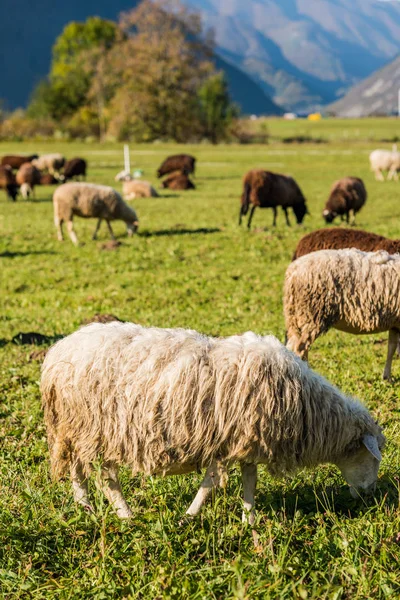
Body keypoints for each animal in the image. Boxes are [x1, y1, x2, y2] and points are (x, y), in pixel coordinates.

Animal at [40, 322, 384, 524]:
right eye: (371, 457)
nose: (370, 494)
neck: (308, 407)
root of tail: (59, 351)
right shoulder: (228, 441)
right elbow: (210, 485)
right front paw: (190, 517)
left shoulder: (246, 441)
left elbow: (249, 481)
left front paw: (248, 519)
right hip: (101, 428)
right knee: (106, 478)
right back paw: (124, 515)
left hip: (78, 429)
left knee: (77, 469)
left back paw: (85, 507)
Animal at [284, 247, 400, 380]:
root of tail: (293, 271)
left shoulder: (395, 323)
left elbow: (391, 348)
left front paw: (387, 377)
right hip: (312, 314)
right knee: (300, 349)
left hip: (296, 318)